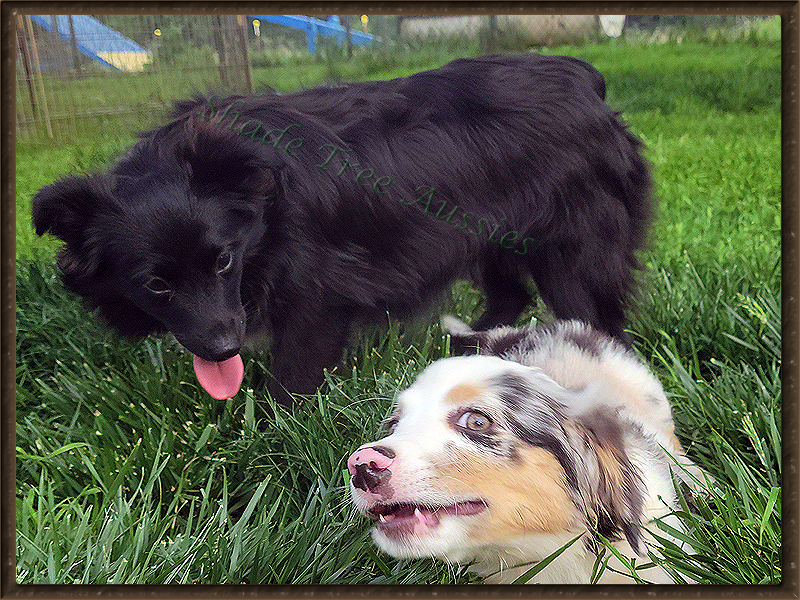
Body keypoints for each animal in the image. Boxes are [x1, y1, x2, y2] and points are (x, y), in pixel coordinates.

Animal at [34, 54, 652, 408]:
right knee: (510, 290)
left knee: (591, 311)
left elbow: (296, 371)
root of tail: (587, 81)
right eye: (156, 284)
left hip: (571, 235)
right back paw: (468, 349)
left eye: (223, 261)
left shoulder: (317, 292)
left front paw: (272, 440)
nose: (224, 346)